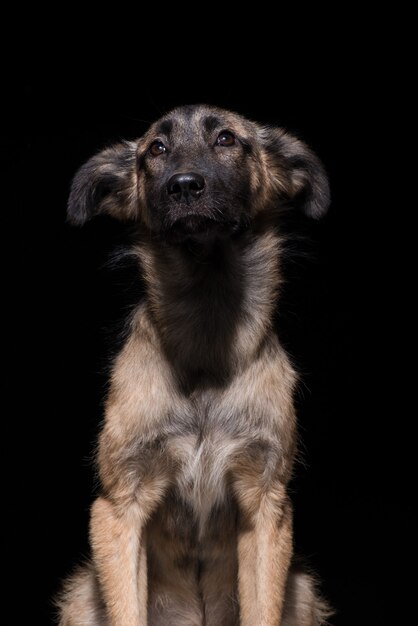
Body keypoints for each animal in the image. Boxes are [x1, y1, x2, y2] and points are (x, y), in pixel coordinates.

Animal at [58, 105, 334, 620]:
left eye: (226, 138)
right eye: (156, 149)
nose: (184, 186)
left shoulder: (265, 507)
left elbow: (262, 610)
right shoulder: (118, 507)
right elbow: (126, 610)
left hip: (303, 591)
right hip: (82, 594)